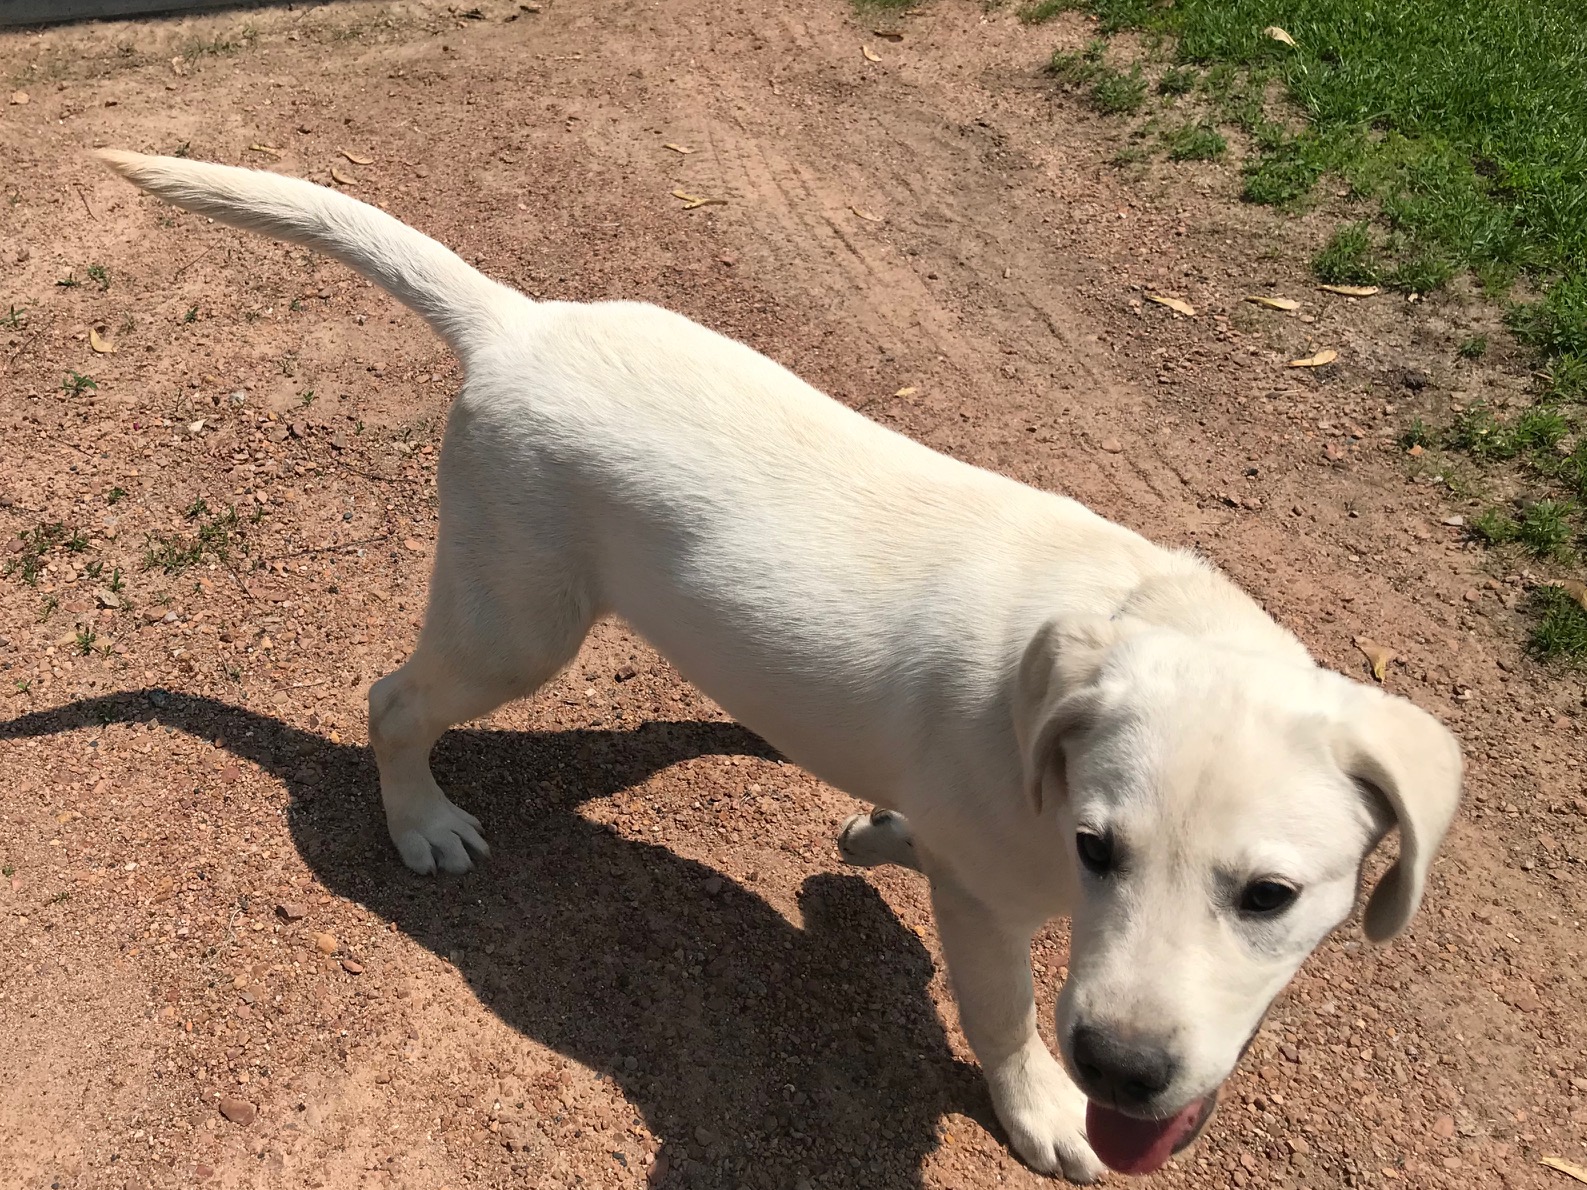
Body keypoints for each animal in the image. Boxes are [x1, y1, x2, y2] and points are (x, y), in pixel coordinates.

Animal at [99, 151, 1460, 1186]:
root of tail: (519, 322)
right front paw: (1041, 1111)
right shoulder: (995, 905)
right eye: (1097, 848)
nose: (1121, 1072)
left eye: (1270, 895)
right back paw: (420, 818)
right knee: (395, 701)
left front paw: (880, 838)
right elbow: (1005, 1013)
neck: (1117, 618)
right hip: (514, 625)